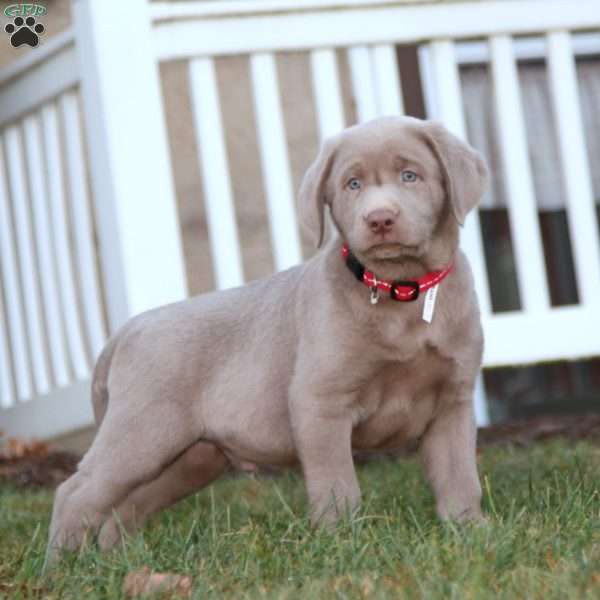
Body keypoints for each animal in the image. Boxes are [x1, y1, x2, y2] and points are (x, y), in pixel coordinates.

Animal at [47, 115, 490, 560]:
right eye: (352, 184)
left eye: (410, 175)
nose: (379, 219)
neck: (401, 292)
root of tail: (122, 332)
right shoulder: (320, 400)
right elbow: (336, 483)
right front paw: (341, 542)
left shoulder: (452, 401)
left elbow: (459, 475)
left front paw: (467, 532)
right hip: (144, 428)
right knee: (75, 492)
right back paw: (63, 564)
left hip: (192, 457)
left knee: (122, 506)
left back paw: (116, 560)